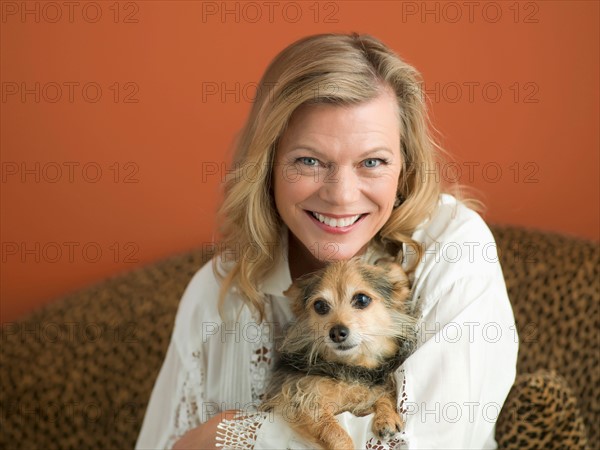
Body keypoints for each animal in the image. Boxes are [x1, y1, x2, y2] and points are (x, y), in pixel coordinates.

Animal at [260, 256, 420, 450]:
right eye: (320, 305)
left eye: (362, 299)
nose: (336, 333)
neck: (351, 366)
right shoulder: (302, 401)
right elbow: (334, 432)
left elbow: (383, 395)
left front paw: (387, 416)